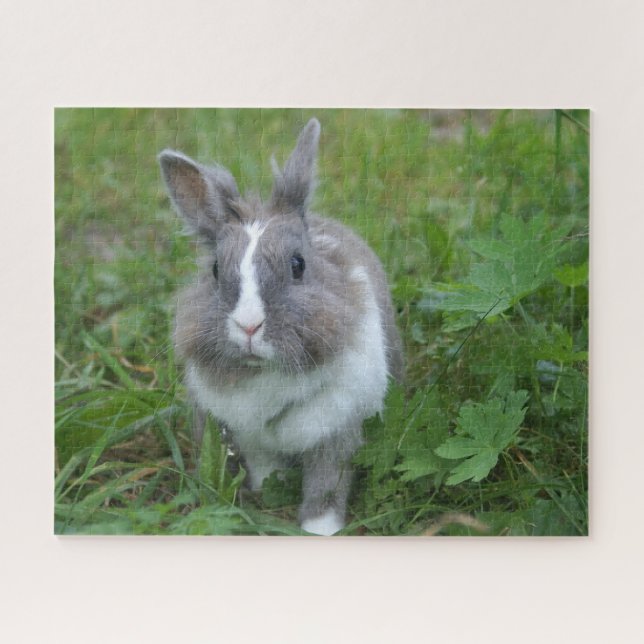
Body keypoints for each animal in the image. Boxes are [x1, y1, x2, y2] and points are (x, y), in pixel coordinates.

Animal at [158, 118, 403, 535]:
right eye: (215, 270)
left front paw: (320, 530)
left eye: (298, 265)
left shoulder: (337, 433)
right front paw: (269, 490)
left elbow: (326, 485)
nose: (249, 326)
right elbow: (265, 469)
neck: (269, 374)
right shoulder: (251, 440)